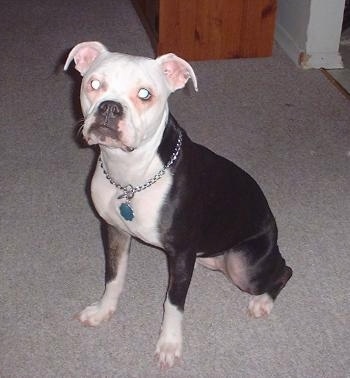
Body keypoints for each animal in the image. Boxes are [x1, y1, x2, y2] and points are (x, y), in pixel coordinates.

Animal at [63, 42, 292, 370]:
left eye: (145, 94)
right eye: (94, 85)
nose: (110, 107)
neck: (132, 176)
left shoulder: (182, 253)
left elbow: (173, 303)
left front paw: (169, 345)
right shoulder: (115, 232)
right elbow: (113, 277)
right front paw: (103, 311)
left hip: (245, 266)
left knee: (284, 271)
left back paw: (262, 301)